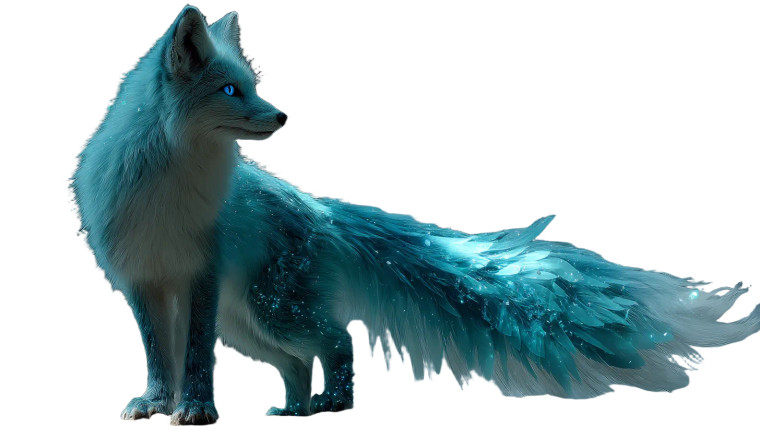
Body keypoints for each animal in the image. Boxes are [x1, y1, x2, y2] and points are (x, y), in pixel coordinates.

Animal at [71, 5, 760, 425]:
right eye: (230, 91)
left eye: (254, 86)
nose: (282, 116)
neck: (164, 190)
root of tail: (318, 208)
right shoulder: (143, 284)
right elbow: (160, 356)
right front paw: (157, 404)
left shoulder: (201, 280)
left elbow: (193, 361)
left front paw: (196, 410)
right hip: (251, 324)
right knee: (300, 360)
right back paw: (297, 409)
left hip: (268, 311)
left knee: (338, 341)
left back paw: (331, 406)